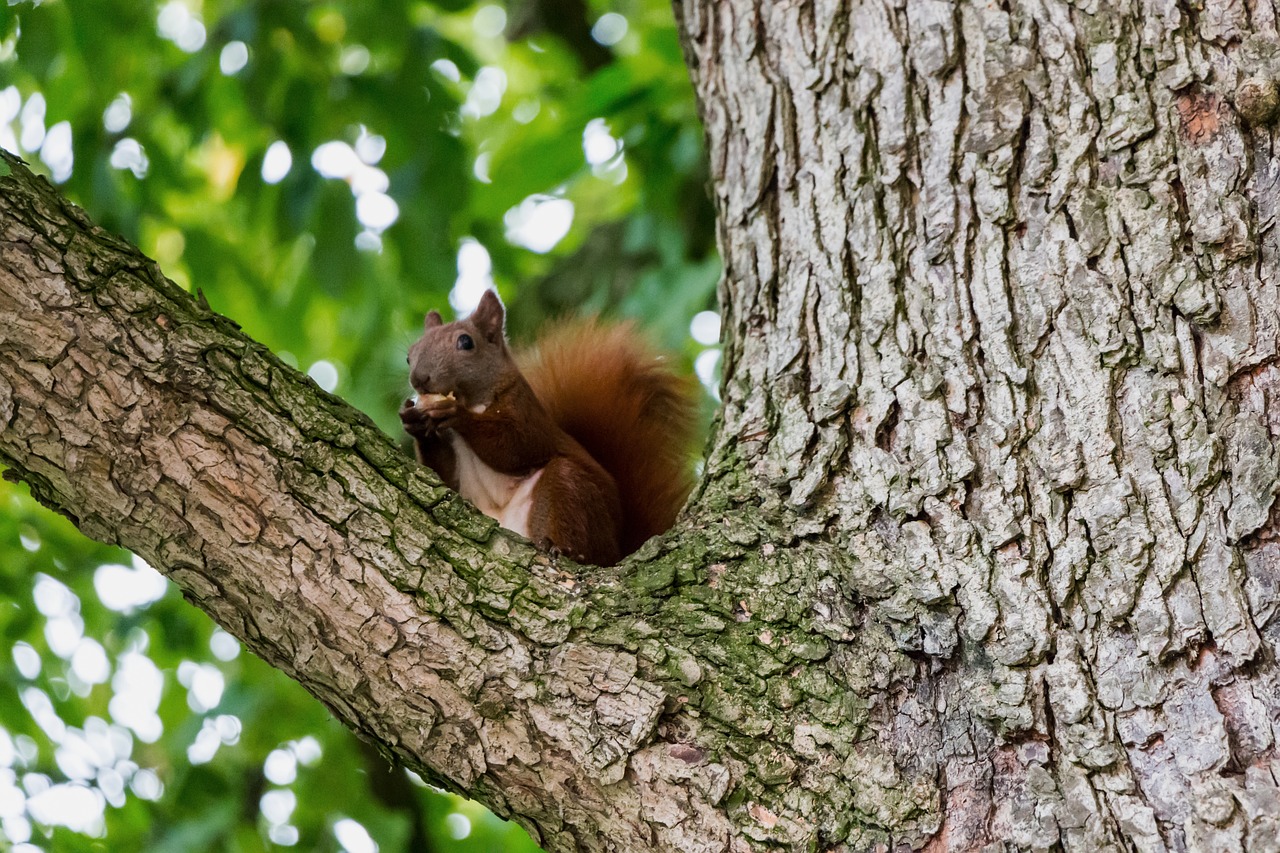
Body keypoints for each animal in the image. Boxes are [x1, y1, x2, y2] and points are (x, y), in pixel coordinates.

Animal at [399, 286, 701, 563]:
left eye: (465, 342)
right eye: (409, 355)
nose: (419, 379)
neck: (473, 400)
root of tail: (616, 551)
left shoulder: (526, 413)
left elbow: (514, 446)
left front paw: (457, 414)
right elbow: (444, 476)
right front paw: (414, 423)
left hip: (569, 492)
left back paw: (564, 549)